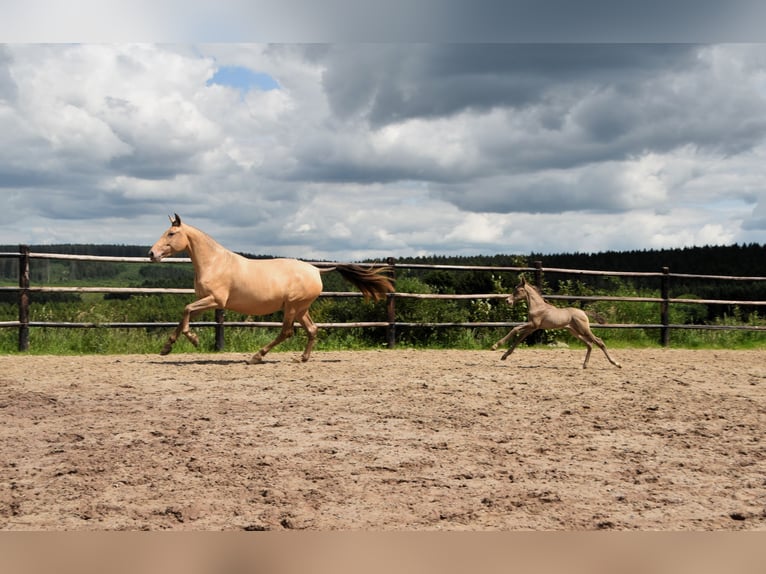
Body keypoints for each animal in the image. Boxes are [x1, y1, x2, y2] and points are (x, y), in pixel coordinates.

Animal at [148, 216, 396, 364]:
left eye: (171, 234)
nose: (152, 254)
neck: (214, 262)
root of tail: (316, 269)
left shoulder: (216, 300)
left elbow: (186, 310)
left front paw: (193, 339)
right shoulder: (206, 301)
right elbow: (185, 313)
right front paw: (166, 348)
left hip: (292, 307)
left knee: (287, 332)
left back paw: (256, 356)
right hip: (300, 308)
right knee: (312, 329)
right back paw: (302, 358)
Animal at [492, 278, 624, 368]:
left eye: (519, 290)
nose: (507, 301)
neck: (538, 306)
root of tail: (583, 312)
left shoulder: (533, 325)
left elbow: (515, 329)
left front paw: (495, 346)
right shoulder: (532, 328)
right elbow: (519, 339)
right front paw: (504, 356)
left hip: (584, 330)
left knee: (599, 342)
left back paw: (616, 363)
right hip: (574, 332)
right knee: (590, 344)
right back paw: (585, 365)